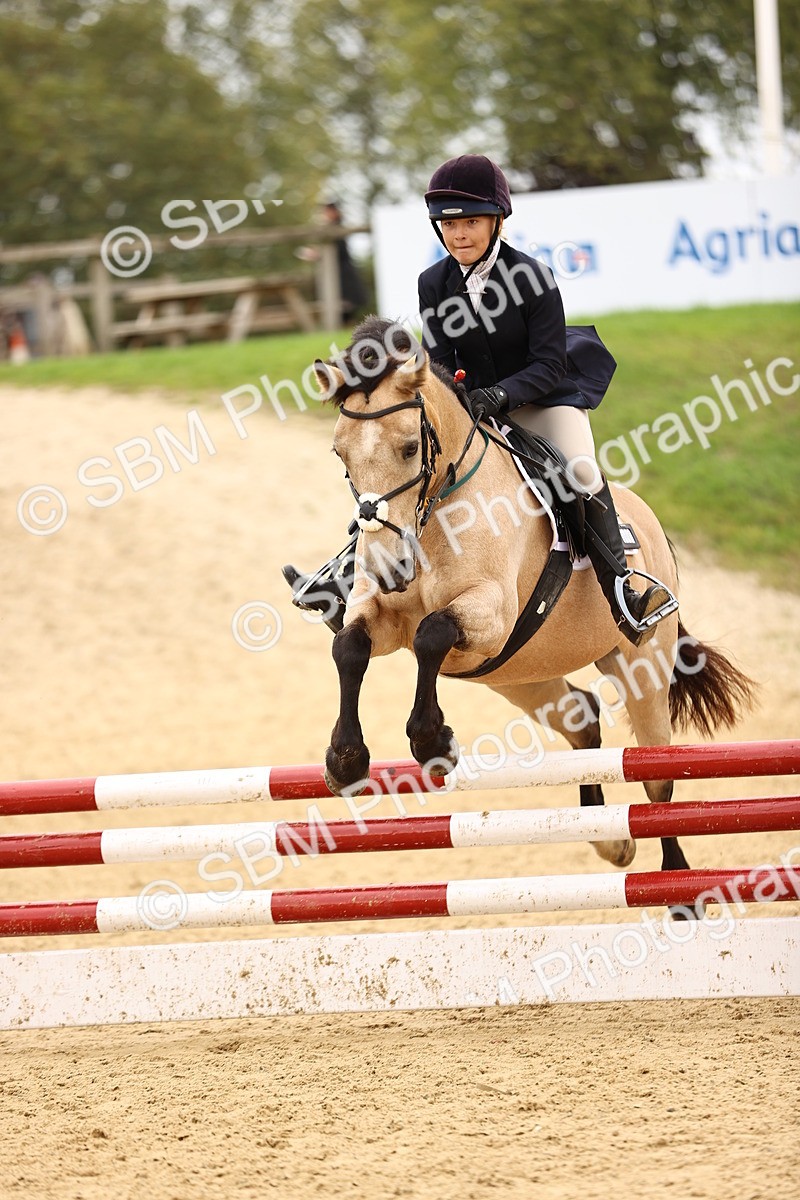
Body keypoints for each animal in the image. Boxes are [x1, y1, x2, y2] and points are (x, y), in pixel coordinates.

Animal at [313, 316, 755, 884]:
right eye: (340, 454)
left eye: (411, 447)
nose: (388, 567)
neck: (438, 514)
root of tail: (650, 520)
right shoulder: (383, 616)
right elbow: (349, 648)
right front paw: (345, 761)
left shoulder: (491, 613)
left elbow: (432, 632)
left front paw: (432, 742)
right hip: (521, 673)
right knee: (583, 719)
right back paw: (609, 840)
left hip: (641, 665)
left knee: (658, 780)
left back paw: (677, 883)